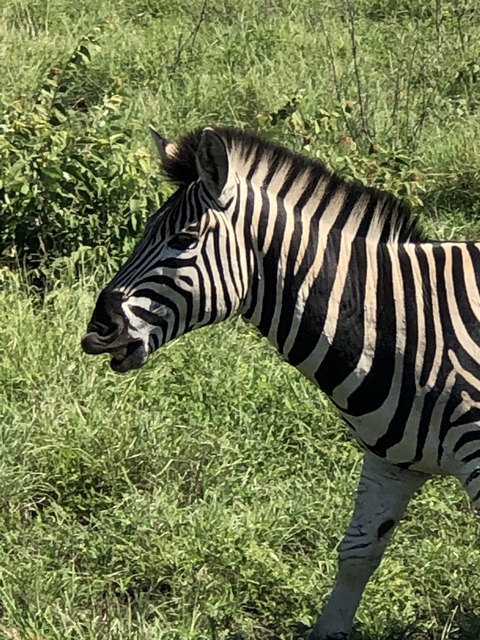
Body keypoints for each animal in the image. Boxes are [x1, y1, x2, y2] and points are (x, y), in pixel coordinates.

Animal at [82, 125, 480, 639]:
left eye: (185, 238)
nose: (98, 330)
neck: (405, 325)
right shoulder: (390, 462)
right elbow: (357, 553)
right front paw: (329, 629)